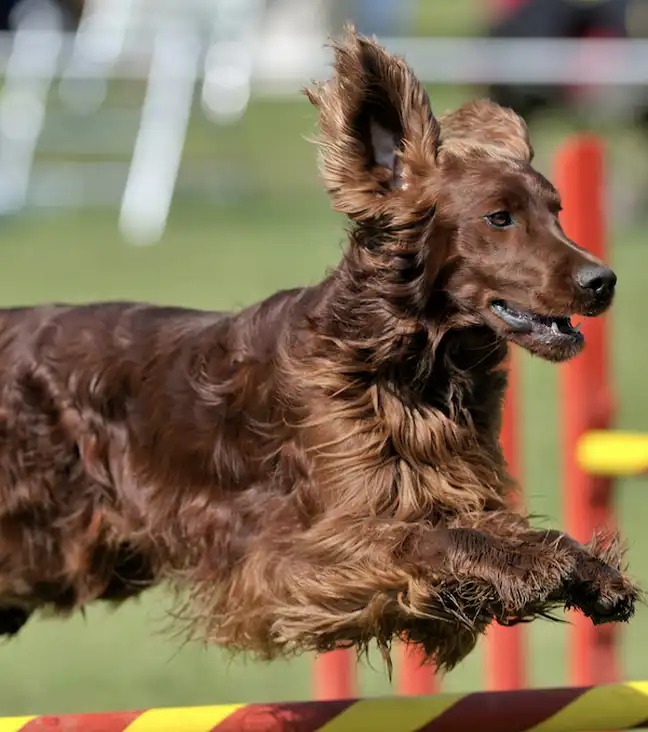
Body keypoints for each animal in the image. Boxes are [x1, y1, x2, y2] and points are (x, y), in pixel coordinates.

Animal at [0, 28, 636, 672]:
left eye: (557, 213)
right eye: (499, 218)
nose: (602, 281)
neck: (409, 369)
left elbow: (503, 528)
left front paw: (586, 567)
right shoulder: (308, 554)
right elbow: (432, 538)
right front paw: (536, 567)